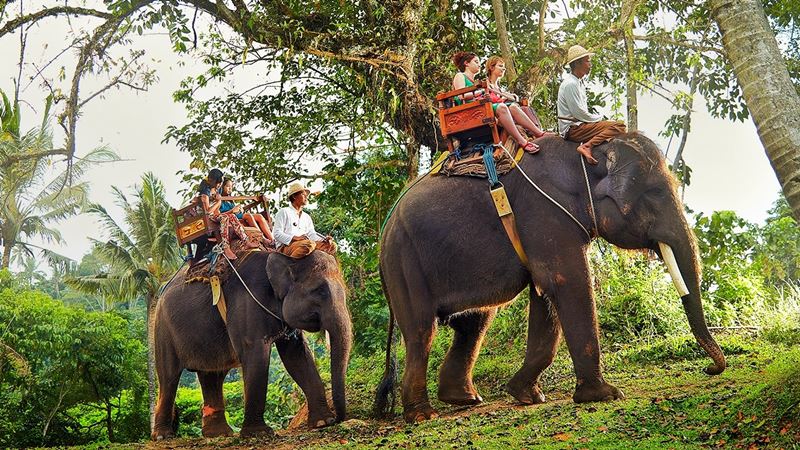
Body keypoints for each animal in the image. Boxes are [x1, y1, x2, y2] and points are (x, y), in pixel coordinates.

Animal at [151, 250, 351, 439]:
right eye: (319, 290)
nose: (339, 418)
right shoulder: (247, 304)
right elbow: (256, 353)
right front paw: (259, 433)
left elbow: (297, 356)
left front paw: (323, 422)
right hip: (162, 330)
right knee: (169, 377)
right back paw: (163, 435)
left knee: (212, 375)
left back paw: (219, 434)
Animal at [374, 133, 726, 422]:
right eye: (654, 193)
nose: (709, 368)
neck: (583, 156)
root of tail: (384, 233)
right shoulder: (544, 212)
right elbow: (567, 281)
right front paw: (605, 395)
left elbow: (544, 294)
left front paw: (526, 395)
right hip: (404, 262)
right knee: (422, 331)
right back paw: (423, 415)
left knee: (475, 322)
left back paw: (466, 399)